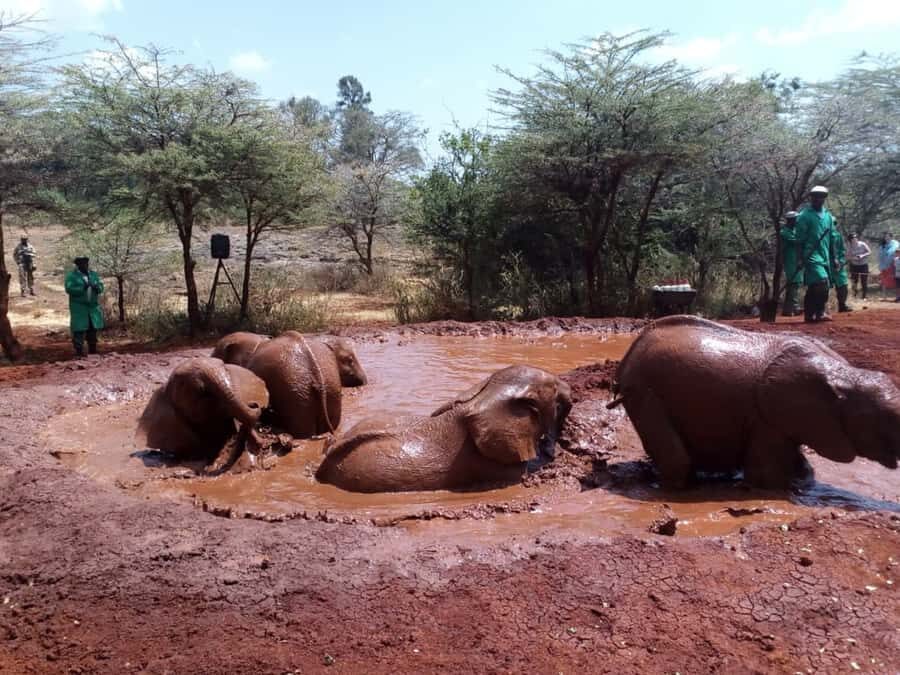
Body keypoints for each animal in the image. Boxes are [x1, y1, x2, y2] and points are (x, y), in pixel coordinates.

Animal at [611, 315, 900, 489]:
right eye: (889, 418)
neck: (846, 374)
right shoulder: (768, 417)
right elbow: (765, 474)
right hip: (645, 393)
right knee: (677, 461)